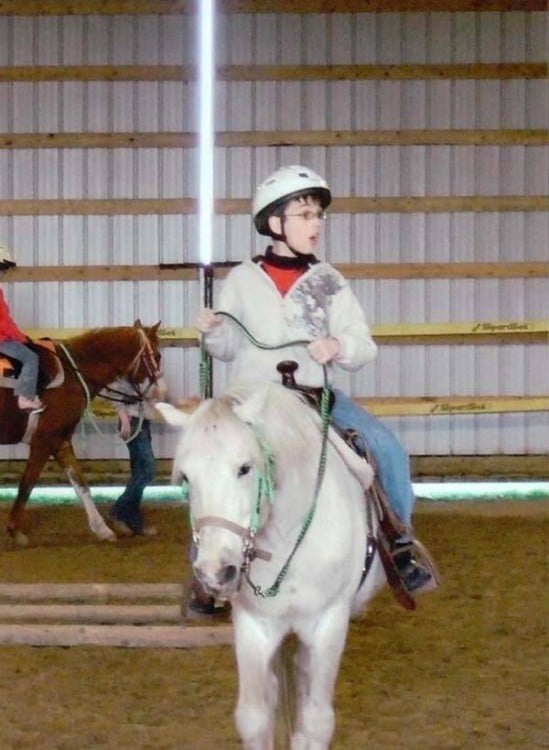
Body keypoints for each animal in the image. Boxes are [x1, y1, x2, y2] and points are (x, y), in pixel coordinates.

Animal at [0, 324, 163, 548]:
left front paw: (102, 529)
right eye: (158, 355)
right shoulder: (44, 440)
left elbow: (81, 484)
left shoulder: (61, 440)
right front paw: (14, 530)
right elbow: (27, 484)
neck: (74, 373)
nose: (159, 393)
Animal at [155, 384, 386, 750]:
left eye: (245, 468)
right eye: (186, 477)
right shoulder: (254, 626)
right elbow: (254, 717)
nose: (215, 572)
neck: (287, 537)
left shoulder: (328, 624)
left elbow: (317, 722)